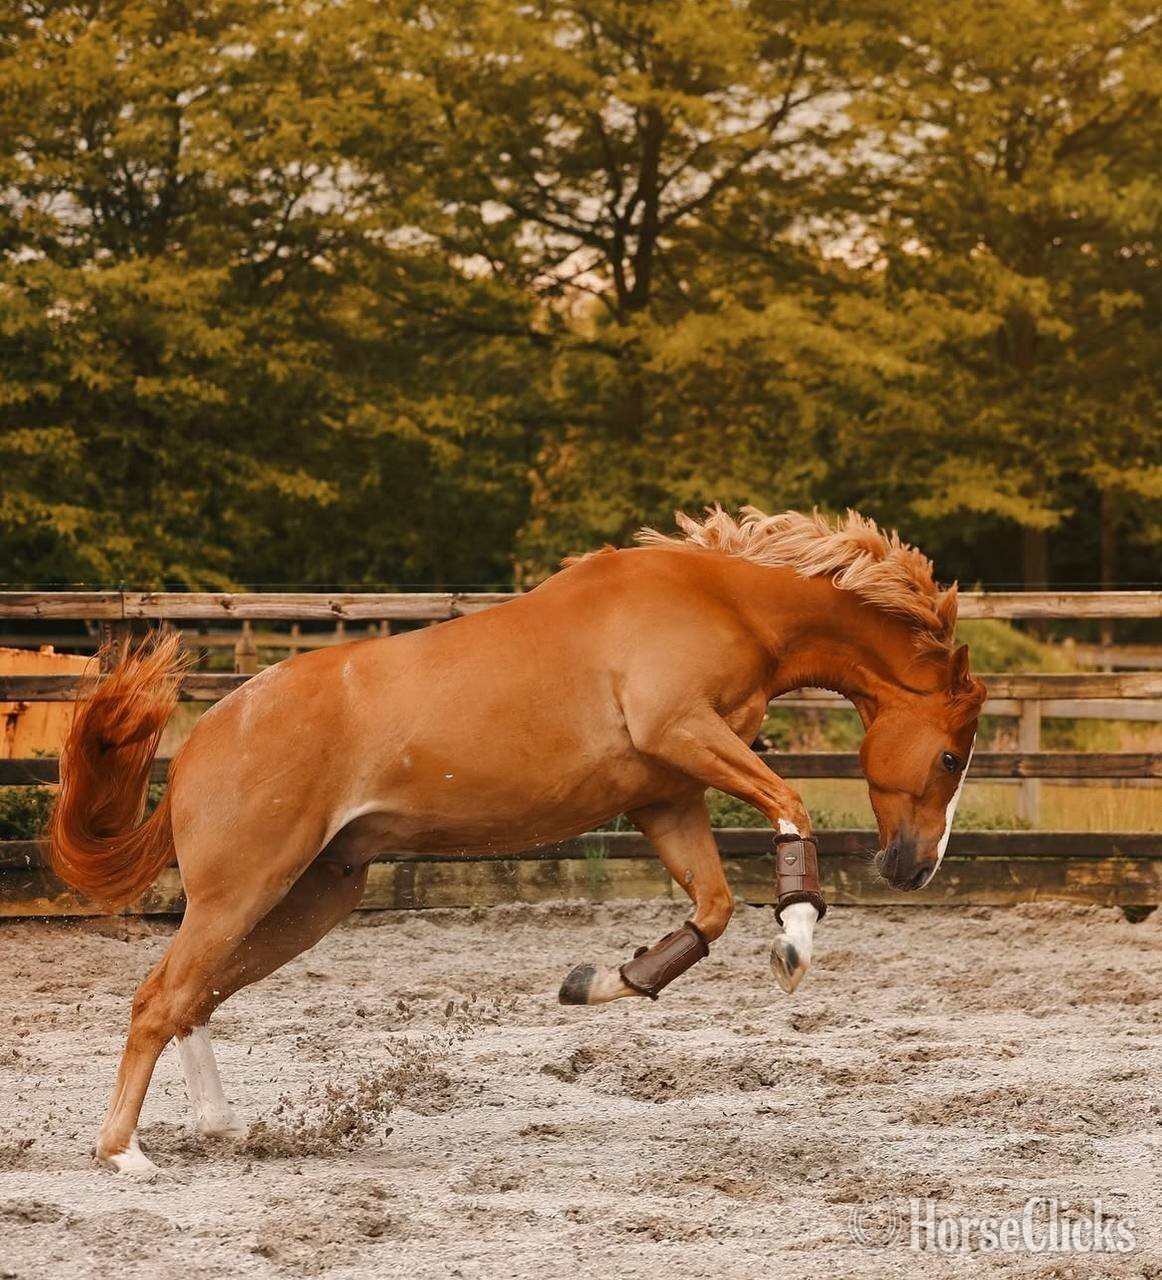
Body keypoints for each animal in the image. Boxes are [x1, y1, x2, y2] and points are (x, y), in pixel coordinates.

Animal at [48, 506, 986, 1173]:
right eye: (949, 754)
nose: (914, 869)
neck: (728, 601)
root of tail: (203, 741)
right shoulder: (681, 733)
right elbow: (788, 805)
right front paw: (792, 940)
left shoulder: (668, 794)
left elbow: (712, 909)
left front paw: (602, 981)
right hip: (246, 889)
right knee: (159, 999)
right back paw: (124, 1154)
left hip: (312, 896)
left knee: (196, 997)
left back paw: (217, 1126)